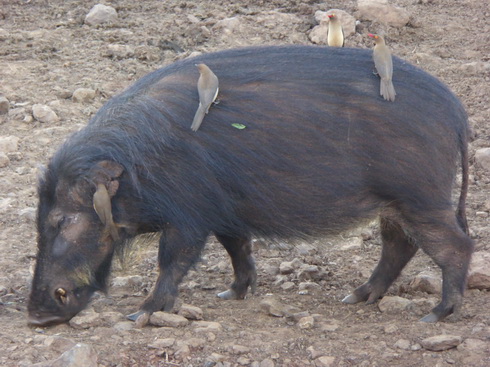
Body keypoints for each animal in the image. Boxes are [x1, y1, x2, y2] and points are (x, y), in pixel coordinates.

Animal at [27, 44, 474, 326]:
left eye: (64, 220)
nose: (36, 316)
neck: (139, 167)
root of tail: (456, 113)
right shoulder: (225, 212)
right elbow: (237, 249)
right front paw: (232, 294)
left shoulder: (190, 217)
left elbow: (173, 260)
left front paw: (141, 314)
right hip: (395, 204)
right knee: (400, 245)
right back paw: (356, 297)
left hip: (420, 196)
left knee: (455, 245)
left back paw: (435, 315)